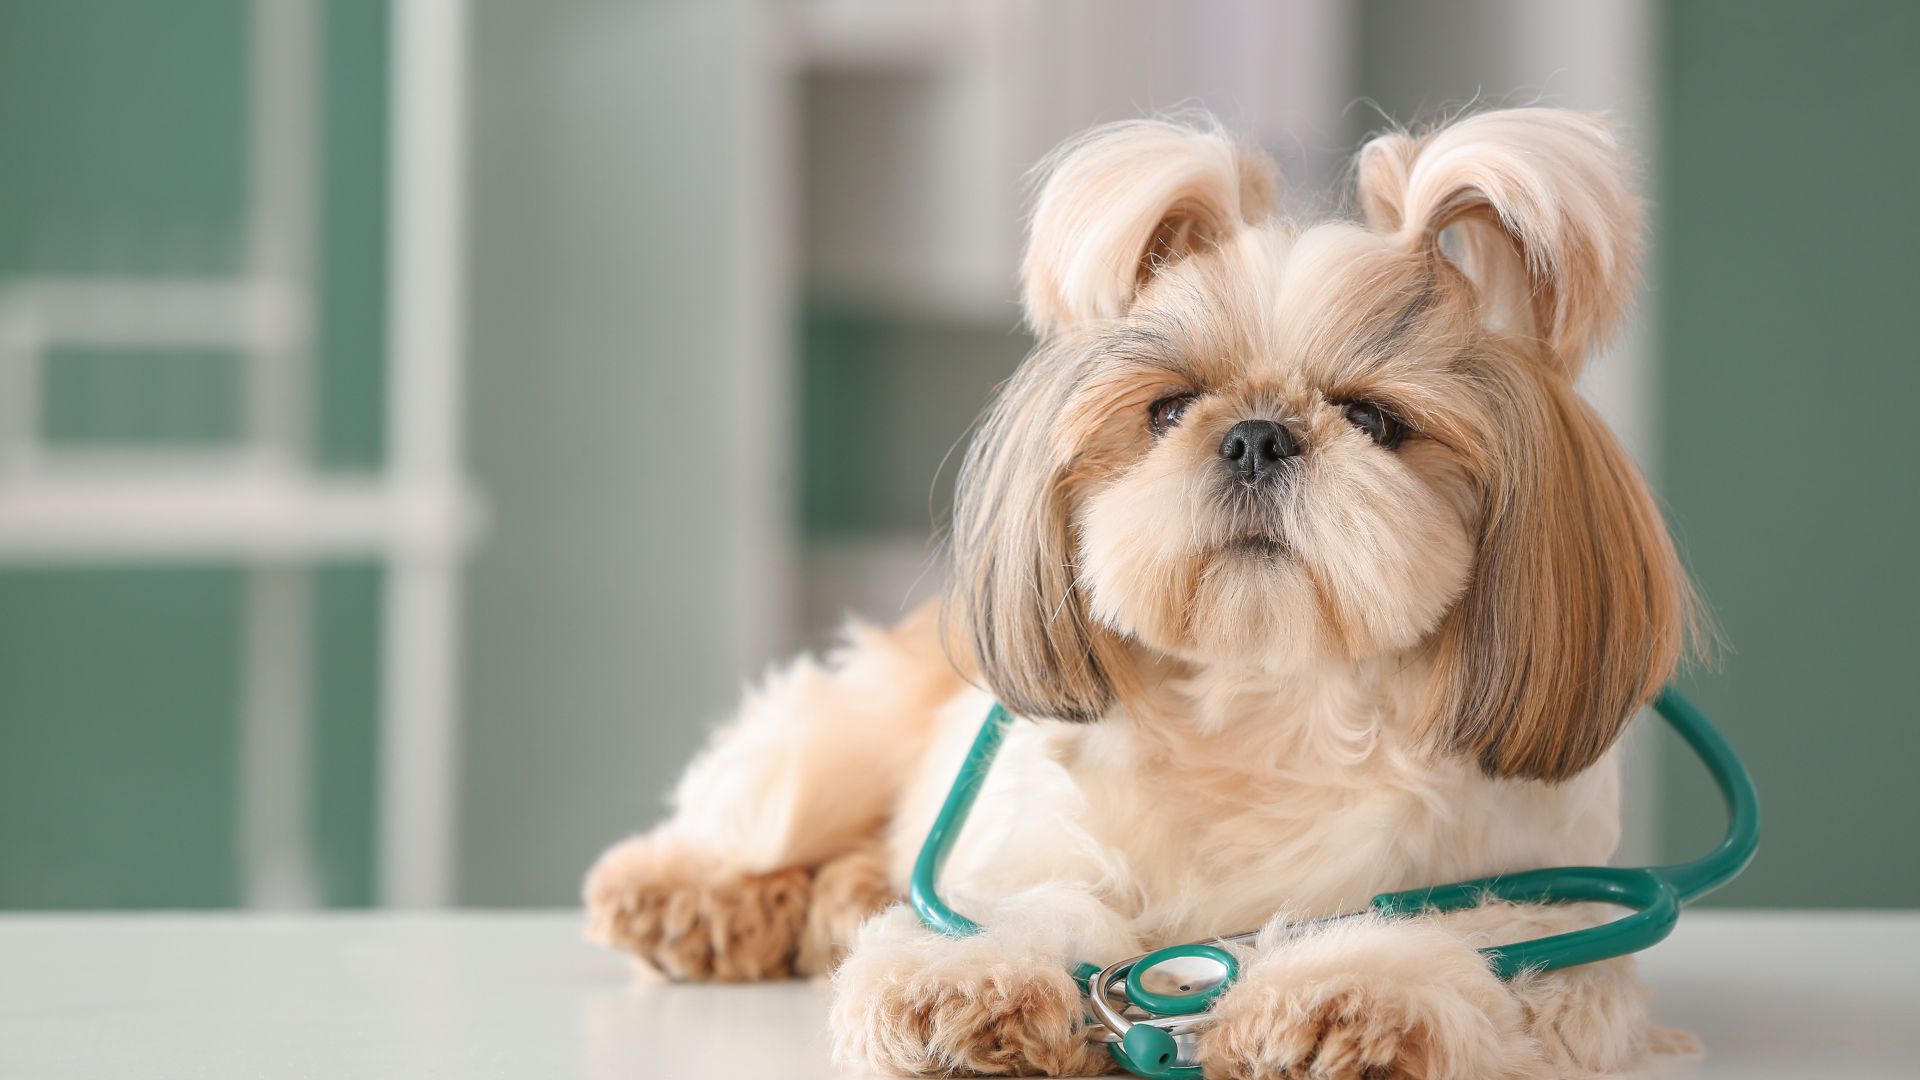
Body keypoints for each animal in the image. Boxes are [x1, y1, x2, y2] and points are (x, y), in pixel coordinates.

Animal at [579, 107, 1697, 1076]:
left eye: (1375, 420)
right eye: (1168, 410)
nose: (1256, 435)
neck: (1268, 708)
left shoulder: (1555, 924)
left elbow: (1479, 945)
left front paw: (1349, 996)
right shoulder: (1036, 848)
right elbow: (1041, 908)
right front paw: (973, 983)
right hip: (838, 740)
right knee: (768, 807)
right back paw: (696, 896)